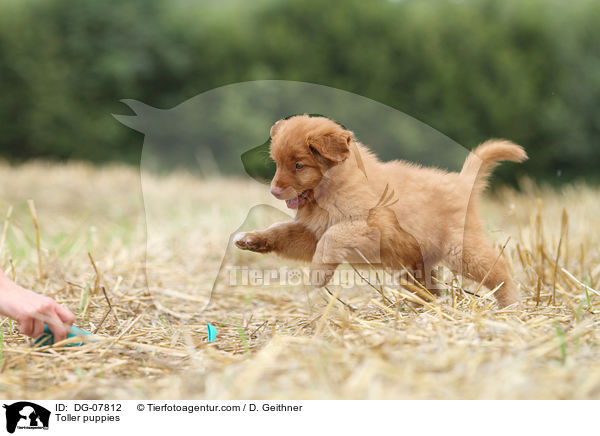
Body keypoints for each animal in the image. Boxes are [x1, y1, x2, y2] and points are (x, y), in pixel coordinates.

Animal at [233, 115, 524, 306]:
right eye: (277, 163)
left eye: (299, 165)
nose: (274, 191)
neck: (336, 186)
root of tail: (462, 183)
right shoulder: (311, 234)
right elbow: (282, 231)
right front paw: (251, 239)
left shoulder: (368, 227)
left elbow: (332, 238)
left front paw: (318, 276)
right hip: (416, 264)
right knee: (431, 289)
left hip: (461, 250)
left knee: (500, 271)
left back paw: (510, 306)